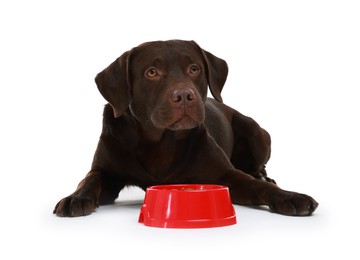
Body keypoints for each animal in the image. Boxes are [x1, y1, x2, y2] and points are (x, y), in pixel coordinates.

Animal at [52, 39, 318, 217]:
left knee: (258, 168)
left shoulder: (225, 175)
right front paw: (74, 198)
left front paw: (290, 197)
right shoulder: (104, 171)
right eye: (151, 72)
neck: (159, 142)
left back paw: (264, 175)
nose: (184, 96)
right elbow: (89, 181)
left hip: (256, 132)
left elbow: (257, 185)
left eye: (194, 68)